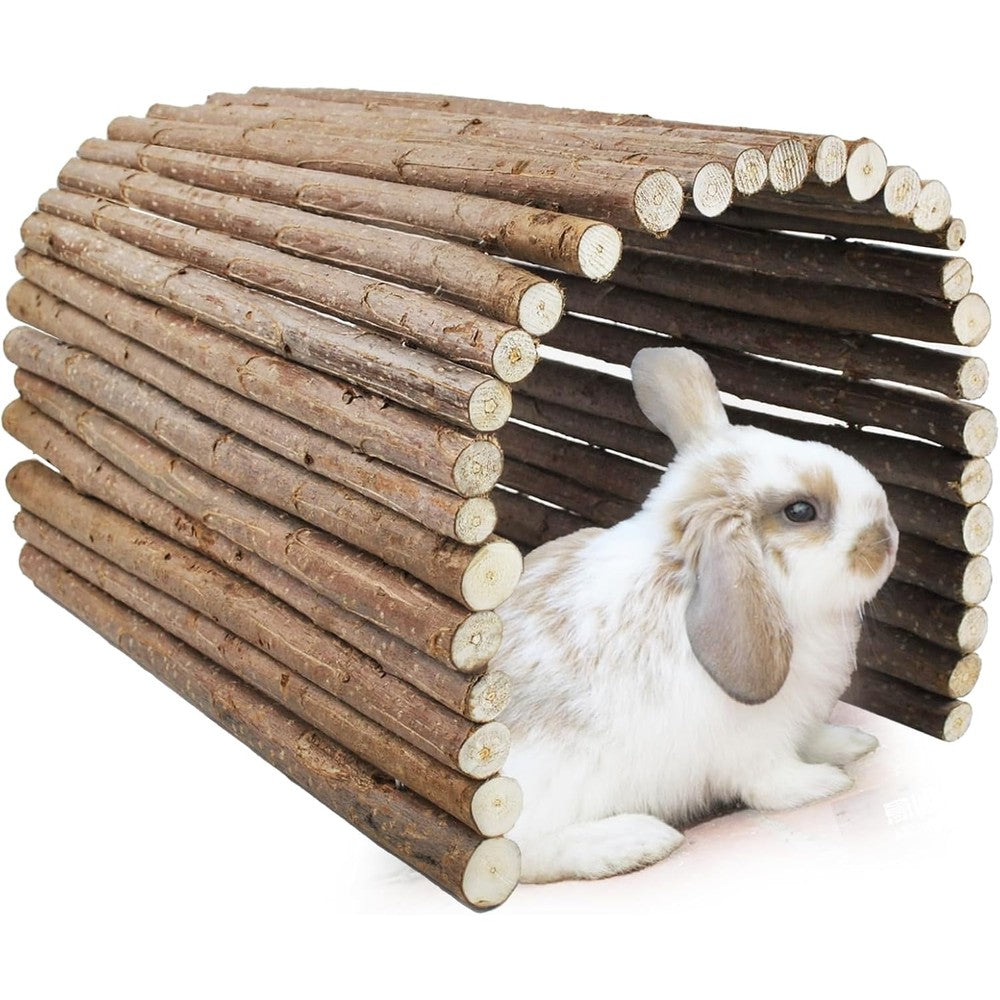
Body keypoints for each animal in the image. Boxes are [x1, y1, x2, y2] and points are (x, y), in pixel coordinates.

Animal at [494, 347, 899, 883]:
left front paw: (854, 744)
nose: (887, 540)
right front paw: (824, 783)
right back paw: (634, 842)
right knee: (519, 858)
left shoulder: (799, 719)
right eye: (800, 511)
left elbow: (815, 737)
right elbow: (772, 783)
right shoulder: (753, 745)